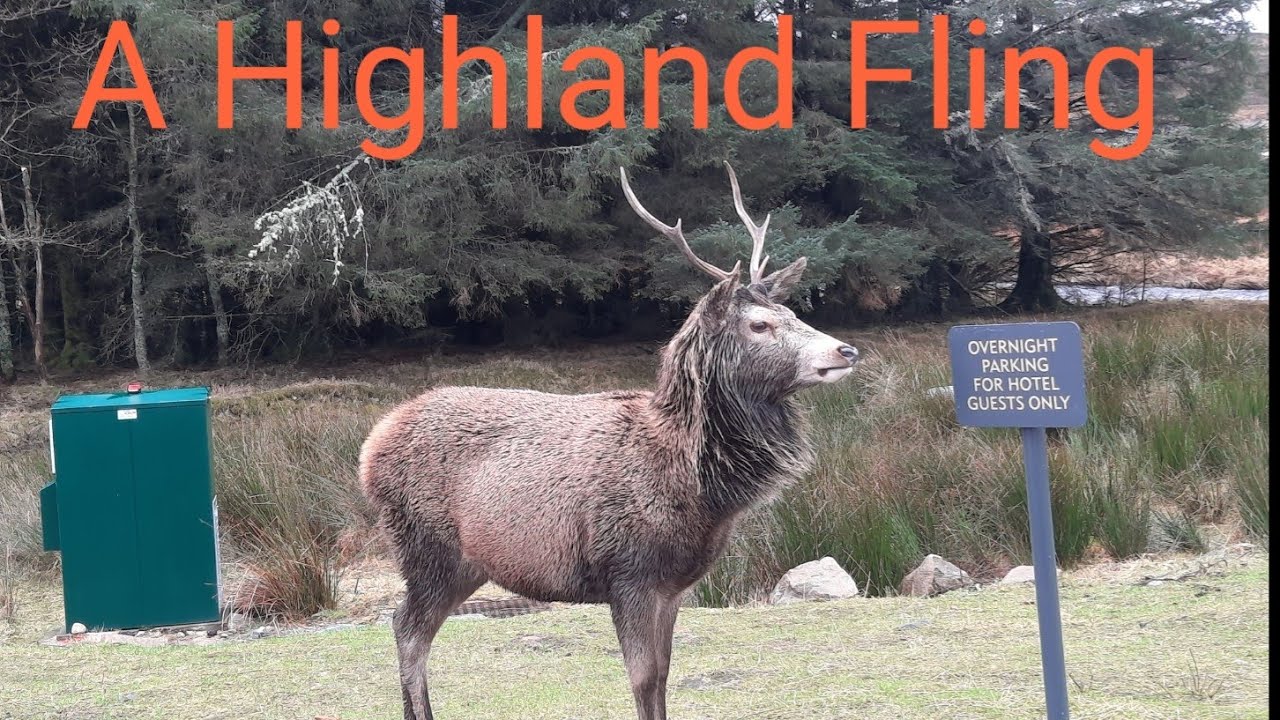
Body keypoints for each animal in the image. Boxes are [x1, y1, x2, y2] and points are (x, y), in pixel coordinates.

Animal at [359, 162, 860, 720]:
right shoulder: (629, 574)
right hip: (426, 545)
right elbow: (642, 680)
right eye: (759, 324)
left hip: (465, 562)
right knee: (407, 630)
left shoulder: (673, 586)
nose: (846, 350)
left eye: (793, 314)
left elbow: (663, 677)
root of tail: (370, 448)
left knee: (409, 627)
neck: (699, 488)